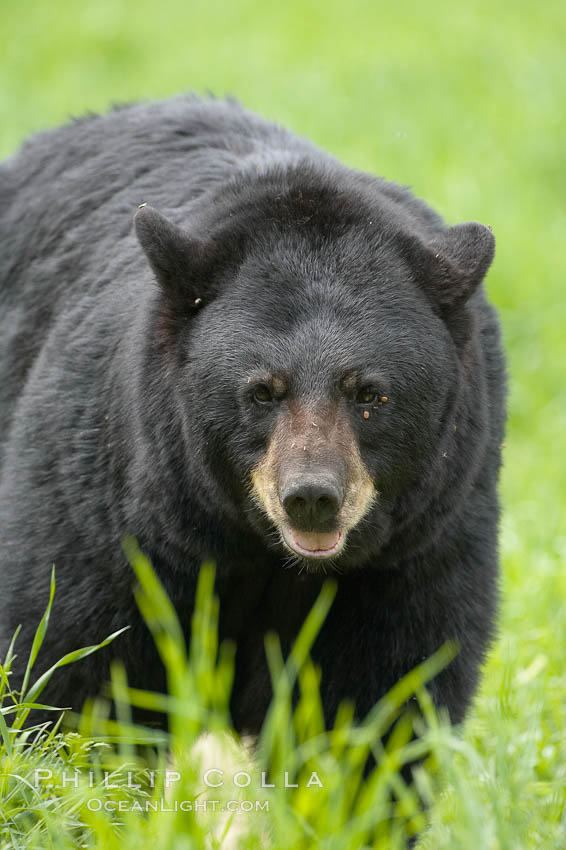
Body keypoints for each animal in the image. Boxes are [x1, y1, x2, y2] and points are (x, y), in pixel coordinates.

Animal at [0, 93, 506, 736]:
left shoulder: (420, 542)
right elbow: (73, 648)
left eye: (370, 394)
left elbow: (384, 684)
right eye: (262, 391)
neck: (262, 553)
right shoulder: (107, 500)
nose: (312, 497)